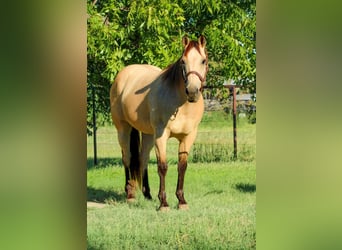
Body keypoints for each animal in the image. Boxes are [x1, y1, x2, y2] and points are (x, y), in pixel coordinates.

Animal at [109, 35, 208, 211]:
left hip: (148, 134)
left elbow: (182, 167)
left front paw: (181, 201)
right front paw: (164, 203)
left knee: (143, 159)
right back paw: (130, 194)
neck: (180, 103)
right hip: (123, 129)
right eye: (183, 61)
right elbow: (162, 167)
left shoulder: (188, 136)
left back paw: (147, 194)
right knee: (127, 157)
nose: (192, 91)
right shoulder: (161, 136)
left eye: (203, 61)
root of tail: (122, 76)